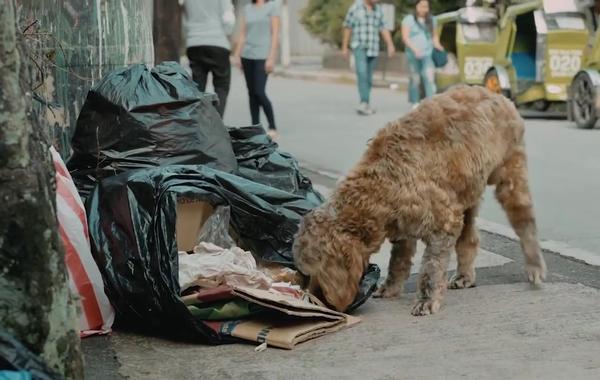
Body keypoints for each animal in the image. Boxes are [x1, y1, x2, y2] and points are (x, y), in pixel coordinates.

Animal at [292, 85, 548, 314]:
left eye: (317, 271)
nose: (316, 300)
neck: (381, 183)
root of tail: (496, 94)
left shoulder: (444, 222)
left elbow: (430, 268)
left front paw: (427, 298)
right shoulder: (403, 228)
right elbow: (398, 261)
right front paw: (390, 287)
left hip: (510, 175)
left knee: (525, 223)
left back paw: (534, 264)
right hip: (468, 192)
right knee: (469, 238)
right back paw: (464, 275)